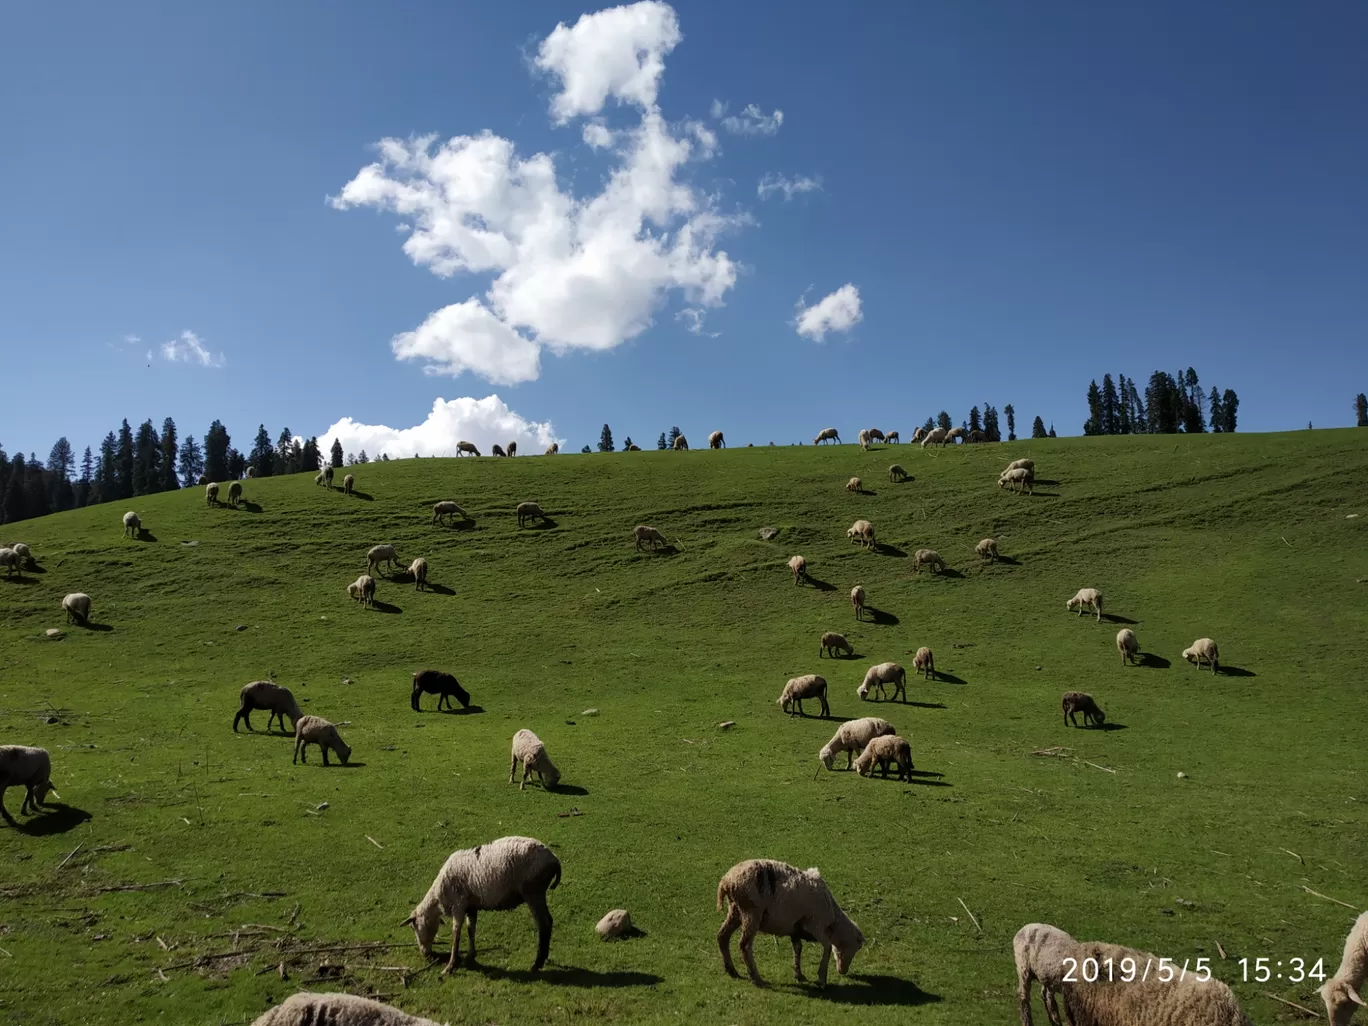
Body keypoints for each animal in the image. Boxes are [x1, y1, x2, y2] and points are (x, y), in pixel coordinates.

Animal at [399, 837, 560, 974]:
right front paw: (470, 955)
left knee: (544, 923)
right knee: (548, 921)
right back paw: (543, 959)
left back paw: (537, 964)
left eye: (413, 927)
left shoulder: (458, 905)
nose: (425, 953)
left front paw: (450, 967)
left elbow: (456, 934)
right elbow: (471, 929)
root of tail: (554, 859)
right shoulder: (471, 907)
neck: (437, 900)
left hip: (533, 891)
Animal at [716, 859, 864, 990]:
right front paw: (822, 979)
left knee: (722, 936)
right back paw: (756, 978)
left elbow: (798, 948)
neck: (833, 922)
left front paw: (799, 974)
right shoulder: (816, 926)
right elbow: (827, 947)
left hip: (735, 910)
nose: (843, 972)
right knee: (744, 945)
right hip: (751, 913)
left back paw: (731, 971)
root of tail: (726, 881)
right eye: (855, 948)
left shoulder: (795, 929)